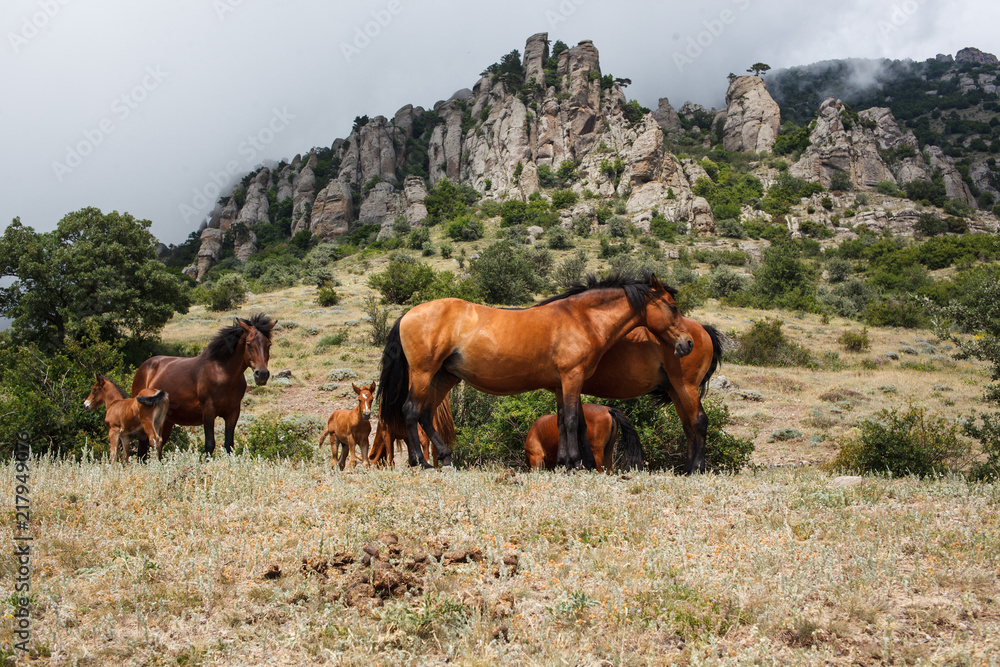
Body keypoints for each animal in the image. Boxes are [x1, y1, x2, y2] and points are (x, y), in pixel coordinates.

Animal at [131, 314, 275, 456]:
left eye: (268, 345)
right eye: (249, 344)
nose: (262, 374)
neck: (224, 374)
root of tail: (144, 367)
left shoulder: (233, 413)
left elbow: (229, 444)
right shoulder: (208, 411)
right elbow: (210, 444)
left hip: (166, 422)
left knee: (158, 445)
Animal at [378, 274, 693, 470]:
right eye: (673, 307)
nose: (687, 343)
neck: (581, 319)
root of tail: (408, 314)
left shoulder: (562, 384)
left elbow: (567, 421)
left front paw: (568, 463)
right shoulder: (572, 377)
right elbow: (571, 421)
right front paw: (576, 463)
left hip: (444, 377)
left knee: (426, 413)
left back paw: (446, 459)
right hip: (423, 372)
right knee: (411, 410)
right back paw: (421, 462)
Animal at [581, 317, 723, 474]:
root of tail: (702, 328)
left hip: (687, 386)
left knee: (699, 421)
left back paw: (697, 468)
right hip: (676, 390)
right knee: (688, 426)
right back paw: (687, 469)